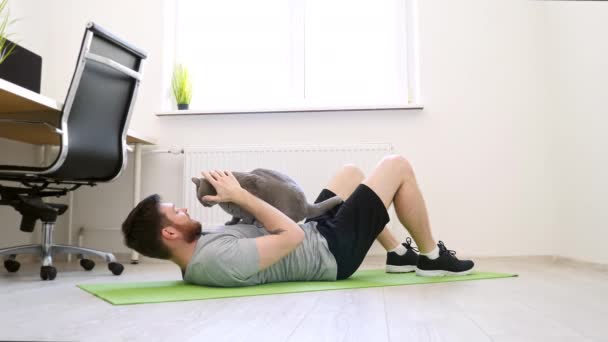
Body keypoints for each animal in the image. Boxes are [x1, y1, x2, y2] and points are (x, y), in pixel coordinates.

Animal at [191, 168, 342, 227]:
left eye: (201, 198)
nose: (203, 204)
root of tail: (305, 205)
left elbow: (246, 216)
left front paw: (243, 223)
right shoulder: (236, 212)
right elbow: (235, 216)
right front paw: (231, 222)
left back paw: (260, 223)